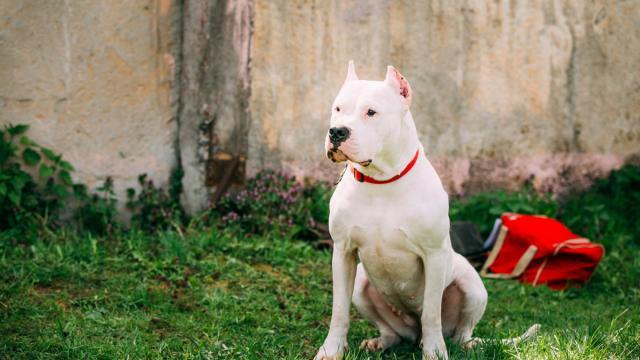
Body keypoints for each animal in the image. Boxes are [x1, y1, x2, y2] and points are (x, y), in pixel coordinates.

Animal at [316, 62, 490, 360]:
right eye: (337, 108)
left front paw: (435, 352)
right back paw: (381, 342)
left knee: (458, 330)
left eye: (371, 112)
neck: (381, 180)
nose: (337, 131)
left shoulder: (433, 255)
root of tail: (412, 331)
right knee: (392, 331)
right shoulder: (343, 252)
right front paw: (331, 350)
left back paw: (463, 344)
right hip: (362, 284)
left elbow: (431, 313)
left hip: (472, 285)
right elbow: (339, 311)